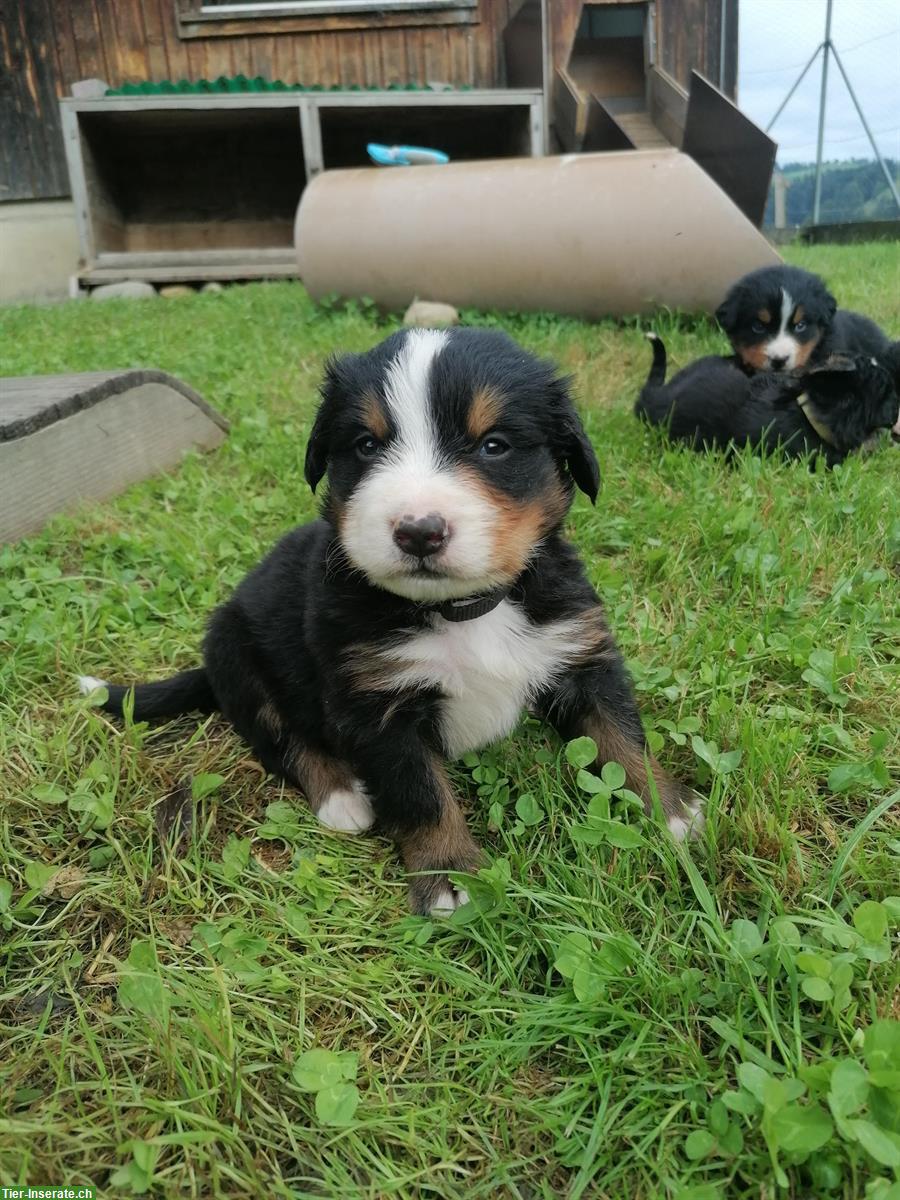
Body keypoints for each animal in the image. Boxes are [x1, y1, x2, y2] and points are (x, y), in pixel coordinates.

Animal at [82, 326, 705, 907]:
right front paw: (449, 876)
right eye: (365, 444)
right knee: (282, 738)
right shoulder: (378, 704)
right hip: (236, 652)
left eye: (495, 445)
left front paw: (671, 812)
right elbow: (421, 792)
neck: (462, 611)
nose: (418, 531)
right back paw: (341, 797)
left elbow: (621, 738)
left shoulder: (579, 651)